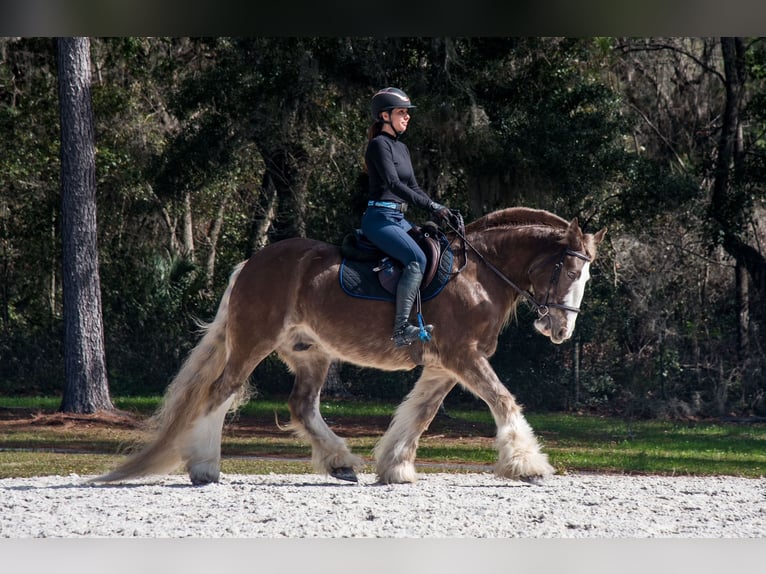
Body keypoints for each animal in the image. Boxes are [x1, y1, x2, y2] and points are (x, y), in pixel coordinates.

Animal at [94, 207, 608, 486]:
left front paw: (395, 466)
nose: (560, 330)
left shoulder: (446, 365)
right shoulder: (463, 356)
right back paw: (204, 468)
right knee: (220, 394)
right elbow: (502, 399)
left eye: (585, 274)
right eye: (568, 269)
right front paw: (527, 464)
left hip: (311, 354)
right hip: (252, 344)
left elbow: (419, 413)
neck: (479, 274)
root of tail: (251, 264)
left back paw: (340, 462)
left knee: (302, 405)